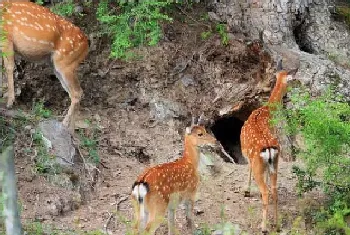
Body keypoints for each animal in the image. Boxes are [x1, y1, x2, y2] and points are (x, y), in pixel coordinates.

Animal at [0, 0, 87, 131]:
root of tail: (87, 46)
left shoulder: (6, 36)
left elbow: (9, 67)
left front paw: (10, 102)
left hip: (66, 63)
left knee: (77, 92)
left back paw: (64, 123)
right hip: (57, 65)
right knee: (73, 93)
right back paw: (71, 130)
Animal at [241, 59, 298, 233]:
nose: (288, 95)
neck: (266, 111)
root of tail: (269, 149)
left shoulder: (247, 154)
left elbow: (248, 169)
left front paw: (246, 191)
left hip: (259, 164)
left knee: (266, 191)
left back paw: (264, 227)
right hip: (276, 163)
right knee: (274, 190)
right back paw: (277, 225)